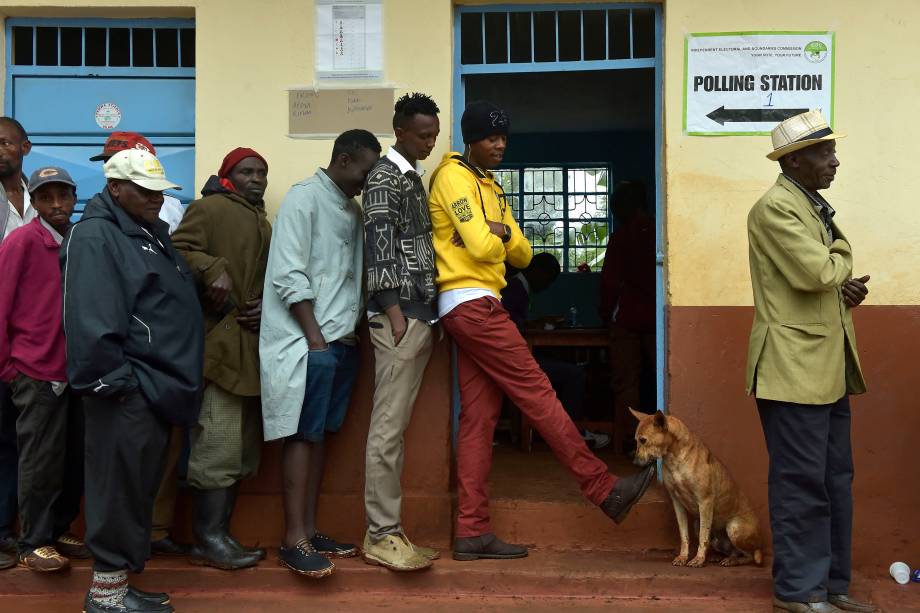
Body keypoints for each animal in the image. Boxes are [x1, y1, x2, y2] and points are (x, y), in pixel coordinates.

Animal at [632, 408, 760, 568]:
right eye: (636, 440)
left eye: (643, 440)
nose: (634, 463)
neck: (675, 457)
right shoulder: (677, 502)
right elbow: (684, 535)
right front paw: (683, 557)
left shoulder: (705, 501)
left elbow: (703, 537)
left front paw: (698, 559)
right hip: (697, 523)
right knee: (731, 550)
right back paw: (720, 557)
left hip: (734, 527)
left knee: (750, 555)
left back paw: (734, 561)